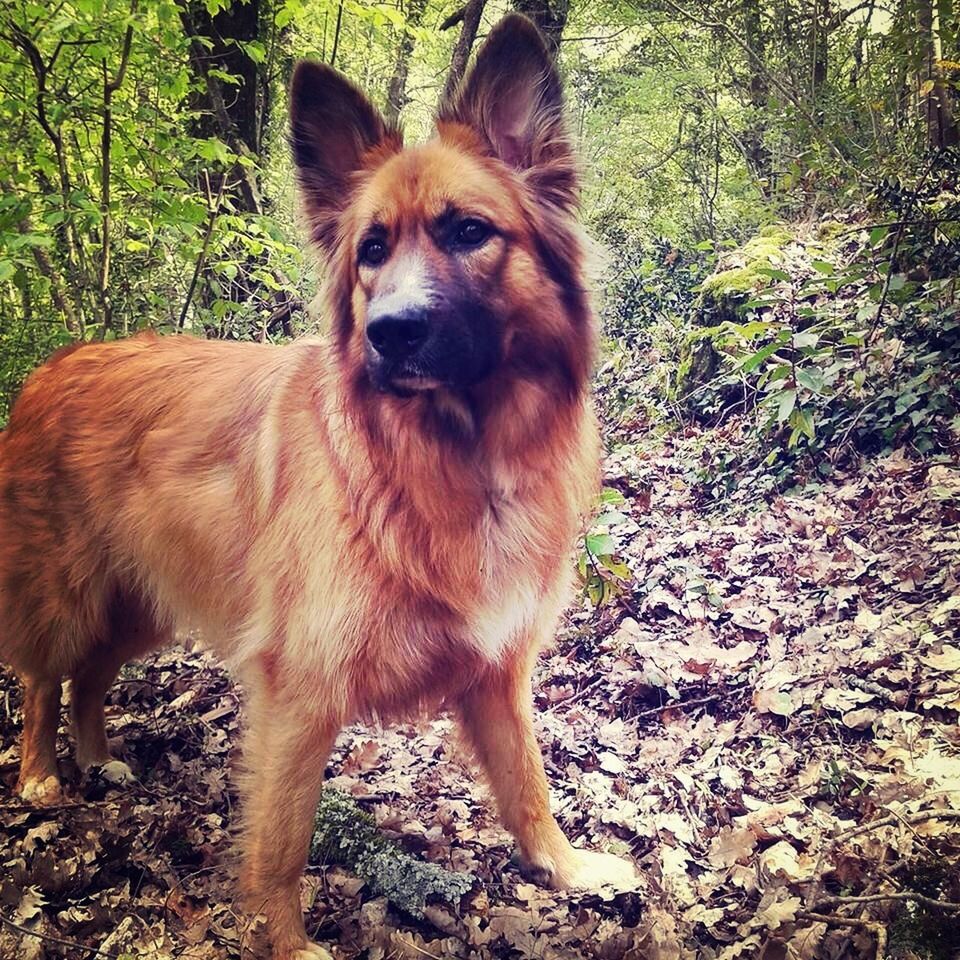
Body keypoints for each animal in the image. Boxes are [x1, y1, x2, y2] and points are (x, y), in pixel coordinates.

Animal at [0, 16, 636, 960]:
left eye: (468, 232)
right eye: (372, 249)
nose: (390, 332)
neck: (453, 457)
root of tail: (53, 366)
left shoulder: (496, 670)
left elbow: (528, 781)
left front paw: (564, 867)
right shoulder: (298, 694)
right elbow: (282, 845)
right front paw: (287, 942)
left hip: (146, 601)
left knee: (90, 675)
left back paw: (99, 754)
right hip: (73, 591)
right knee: (44, 676)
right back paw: (43, 772)